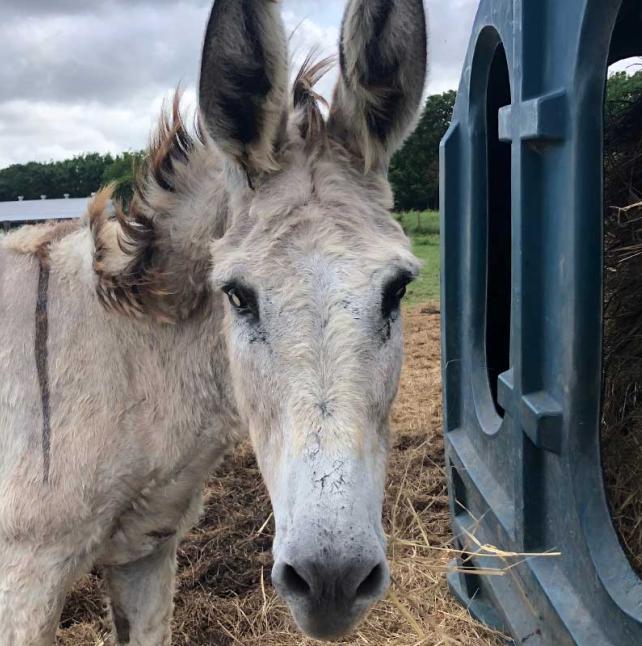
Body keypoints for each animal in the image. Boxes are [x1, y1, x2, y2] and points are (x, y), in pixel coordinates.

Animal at [0, 0, 427, 643]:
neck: (125, 365)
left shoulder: (146, 551)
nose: (332, 581)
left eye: (397, 290)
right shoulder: (23, 579)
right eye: (238, 296)